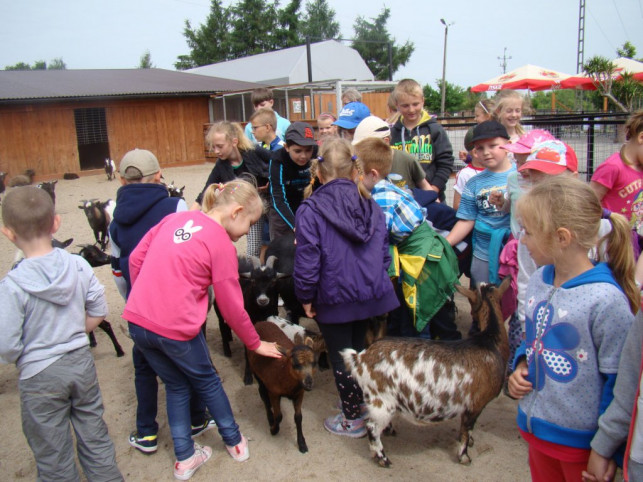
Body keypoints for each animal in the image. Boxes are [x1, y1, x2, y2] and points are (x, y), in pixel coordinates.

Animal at [247, 322, 316, 454]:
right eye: (296, 364)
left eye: (314, 363)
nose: (309, 383)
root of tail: (260, 322)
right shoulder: (274, 392)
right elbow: (279, 416)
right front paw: (274, 429)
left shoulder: (299, 393)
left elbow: (298, 417)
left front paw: (302, 443)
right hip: (257, 374)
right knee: (263, 394)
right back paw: (270, 417)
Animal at [342, 276, 512, 468]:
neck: (490, 343)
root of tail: (360, 357)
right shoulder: (476, 404)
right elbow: (466, 431)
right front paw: (464, 456)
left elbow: (466, 429)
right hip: (382, 400)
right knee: (371, 427)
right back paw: (383, 458)